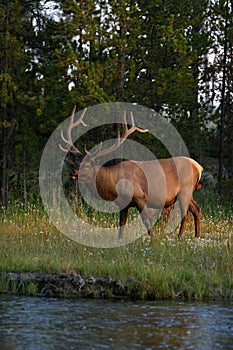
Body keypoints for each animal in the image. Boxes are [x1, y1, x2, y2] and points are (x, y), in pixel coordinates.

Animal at [59, 106, 202, 239]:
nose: (72, 173)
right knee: (197, 209)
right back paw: (196, 236)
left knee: (185, 214)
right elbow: (122, 225)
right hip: (188, 192)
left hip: (185, 190)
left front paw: (153, 240)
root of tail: (198, 167)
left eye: (87, 165)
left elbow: (146, 222)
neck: (114, 185)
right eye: (76, 163)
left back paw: (179, 237)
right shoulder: (123, 204)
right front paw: (120, 242)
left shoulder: (140, 197)